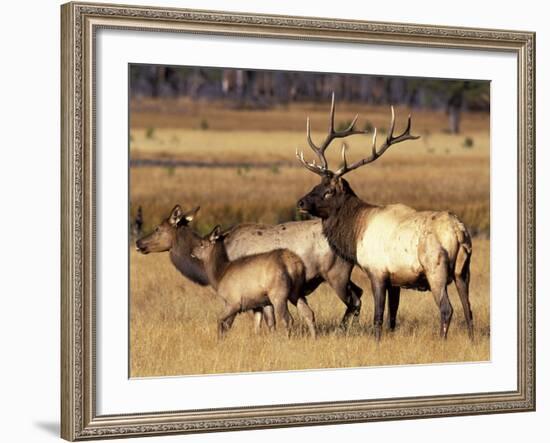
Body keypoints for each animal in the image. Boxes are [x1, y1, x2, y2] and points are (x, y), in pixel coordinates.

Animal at [298, 93, 474, 342]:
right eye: (317, 184)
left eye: (329, 190)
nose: (301, 202)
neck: (355, 232)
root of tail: (459, 232)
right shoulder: (396, 280)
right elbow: (392, 316)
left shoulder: (377, 272)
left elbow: (378, 316)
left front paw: (377, 341)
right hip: (463, 270)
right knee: (469, 309)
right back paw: (471, 340)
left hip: (436, 268)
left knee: (447, 309)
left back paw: (443, 341)